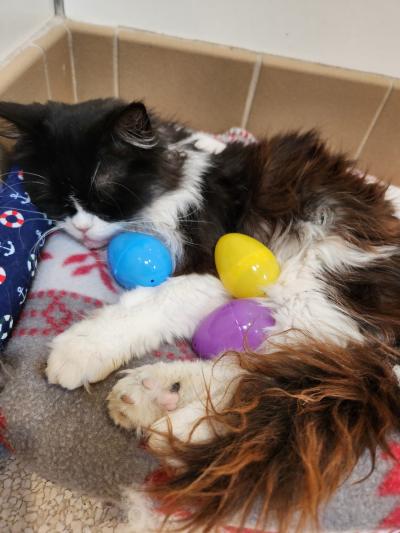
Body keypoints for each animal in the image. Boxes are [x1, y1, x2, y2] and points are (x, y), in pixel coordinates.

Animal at [0, 98, 400, 528]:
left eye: (105, 196)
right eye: (54, 199)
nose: (83, 230)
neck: (172, 177)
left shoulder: (210, 268)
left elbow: (147, 305)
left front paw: (77, 350)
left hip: (316, 276)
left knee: (287, 375)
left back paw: (184, 425)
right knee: (268, 369)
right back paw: (157, 398)